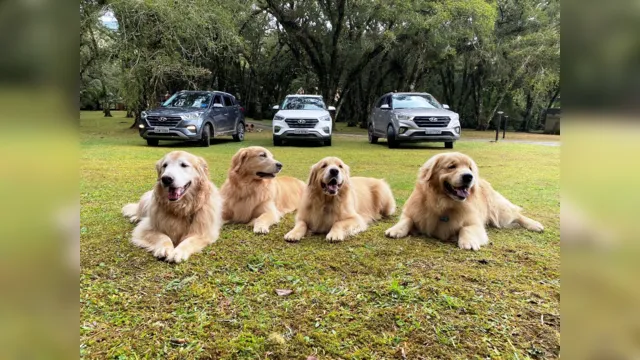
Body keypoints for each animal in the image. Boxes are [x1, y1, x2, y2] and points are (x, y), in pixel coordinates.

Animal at [384, 152, 544, 250]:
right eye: (451, 166)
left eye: (470, 168)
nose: (469, 176)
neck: (443, 204)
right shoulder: (412, 212)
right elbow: (407, 220)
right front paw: (395, 229)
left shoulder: (474, 222)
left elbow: (465, 228)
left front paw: (468, 241)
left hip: (499, 211)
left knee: (516, 214)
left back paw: (534, 224)